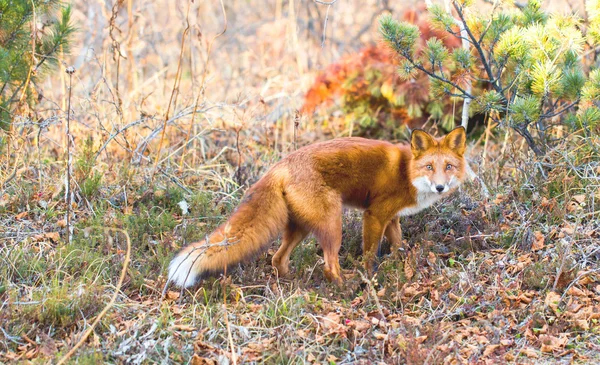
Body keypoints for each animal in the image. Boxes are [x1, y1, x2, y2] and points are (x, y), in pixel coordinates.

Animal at [169, 126, 468, 286]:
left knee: (278, 258)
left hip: (300, 227)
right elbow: (370, 255)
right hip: (332, 224)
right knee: (329, 266)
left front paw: (401, 267)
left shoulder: (391, 218)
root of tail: (280, 165)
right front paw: (371, 276)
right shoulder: (374, 215)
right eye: (429, 167)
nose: (440, 187)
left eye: (448, 167)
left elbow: (398, 246)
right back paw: (346, 286)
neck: (406, 173)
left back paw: (290, 281)